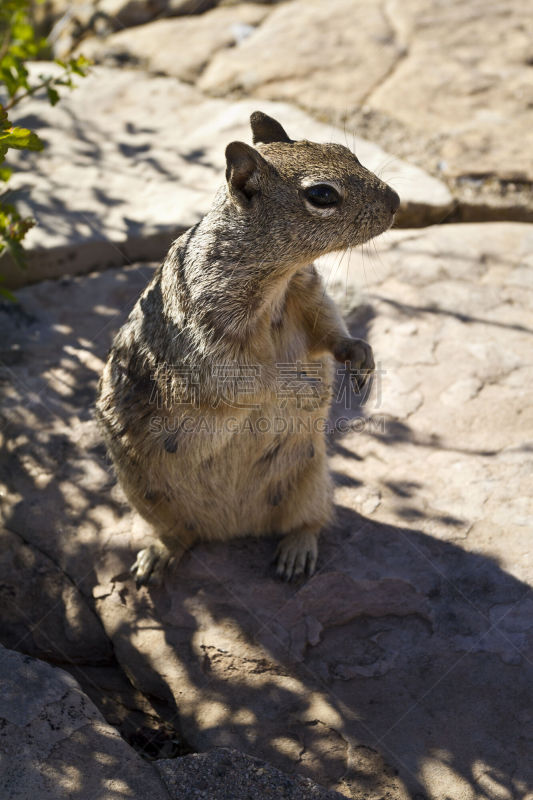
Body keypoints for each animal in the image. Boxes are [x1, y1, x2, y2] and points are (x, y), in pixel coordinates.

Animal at [95, 111, 396, 588]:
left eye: (347, 150)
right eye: (322, 194)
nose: (397, 201)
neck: (278, 282)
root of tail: (232, 528)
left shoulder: (310, 297)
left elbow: (331, 332)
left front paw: (360, 356)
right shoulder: (209, 349)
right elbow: (253, 382)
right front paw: (302, 386)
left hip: (312, 482)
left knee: (307, 522)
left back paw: (295, 552)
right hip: (146, 496)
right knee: (178, 535)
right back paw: (156, 558)